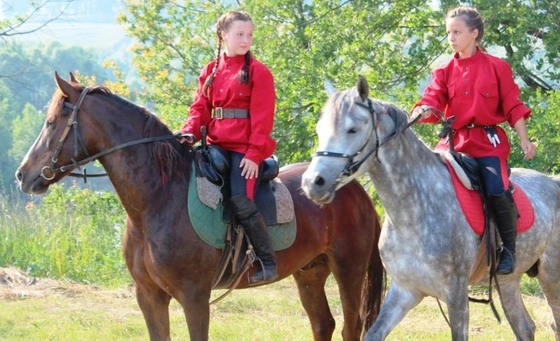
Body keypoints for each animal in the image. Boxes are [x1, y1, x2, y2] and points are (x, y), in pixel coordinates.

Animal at [16, 72, 384, 340]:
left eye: (51, 123)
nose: (23, 174)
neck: (158, 201)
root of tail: (356, 190)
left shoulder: (194, 297)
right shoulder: (149, 296)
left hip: (348, 270)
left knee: (351, 327)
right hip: (309, 273)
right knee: (323, 324)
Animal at [302, 75, 560, 338]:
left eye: (353, 129)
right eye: (319, 130)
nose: (313, 183)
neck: (413, 211)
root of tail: (553, 182)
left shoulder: (456, 295)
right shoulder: (405, 291)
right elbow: (373, 334)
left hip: (551, 277)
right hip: (508, 282)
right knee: (525, 328)